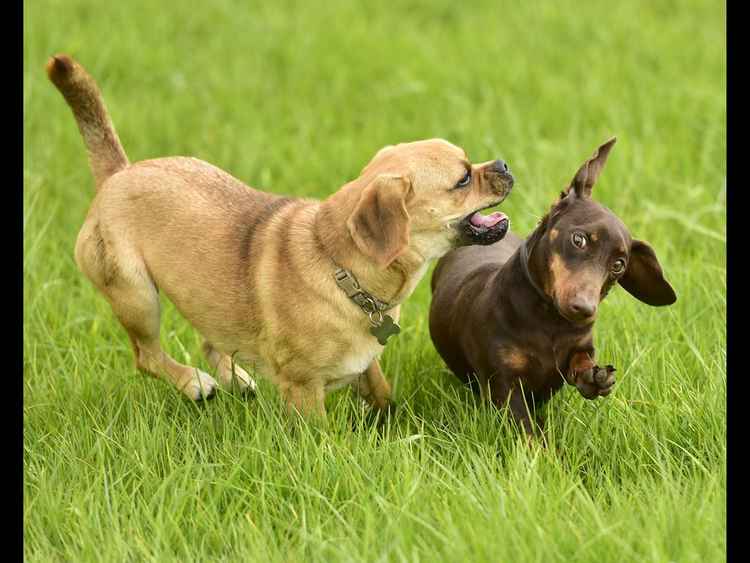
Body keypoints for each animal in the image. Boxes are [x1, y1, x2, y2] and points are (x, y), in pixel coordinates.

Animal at [48, 55, 516, 420]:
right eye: (462, 180)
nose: (505, 164)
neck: (340, 268)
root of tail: (118, 174)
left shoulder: (366, 367)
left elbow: (381, 391)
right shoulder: (303, 390)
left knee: (211, 339)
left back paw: (235, 379)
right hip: (137, 296)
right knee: (146, 356)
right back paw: (194, 383)